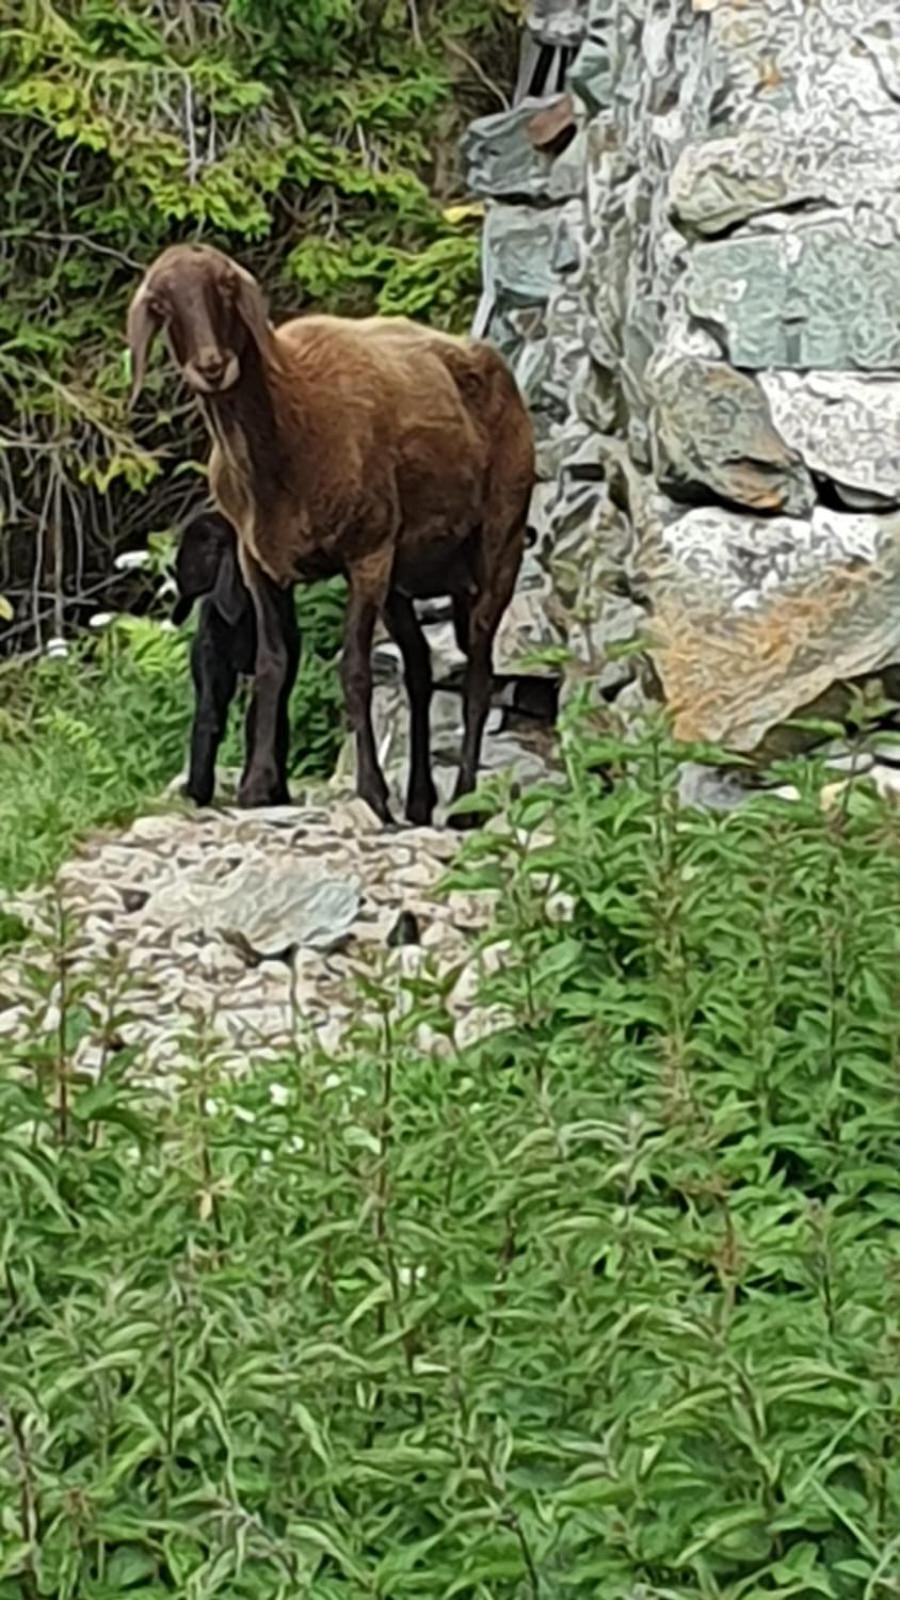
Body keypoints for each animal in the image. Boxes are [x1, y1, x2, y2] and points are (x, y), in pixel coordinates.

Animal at [126, 252, 531, 825]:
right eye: (160, 304)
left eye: (225, 288)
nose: (211, 366)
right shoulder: (258, 562)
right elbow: (274, 667)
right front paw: (258, 788)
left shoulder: (367, 552)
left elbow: (354, 671)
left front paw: (371, 794)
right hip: (404, 578)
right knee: (420, 671)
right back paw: (420, 801)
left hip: (500, 540)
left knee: (478, 673)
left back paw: (464, 805)